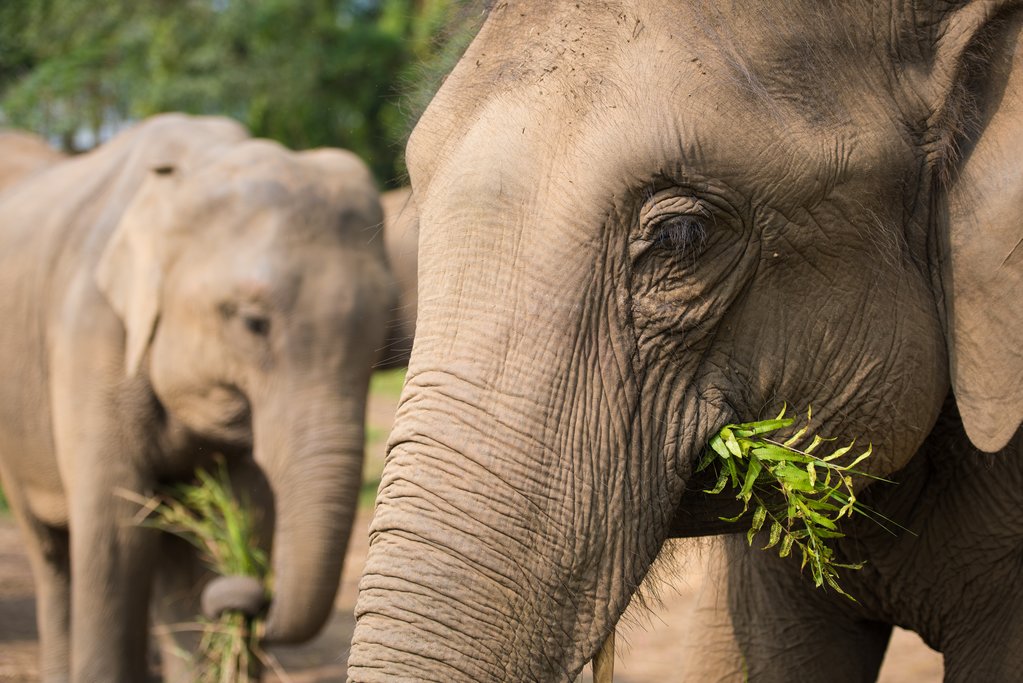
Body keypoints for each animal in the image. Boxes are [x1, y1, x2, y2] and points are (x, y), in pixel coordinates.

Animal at [0, 113, 398, 682]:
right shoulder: (89, 335)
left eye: (383, 331)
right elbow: (117, 533)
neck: (201, 164)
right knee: (54, 553)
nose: (249, 591)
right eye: (253, 323)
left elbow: (235, 517)